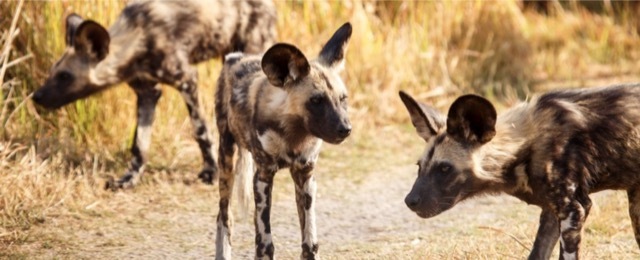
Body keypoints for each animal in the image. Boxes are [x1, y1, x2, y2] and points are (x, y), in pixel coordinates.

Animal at [31, 0, 278, 191]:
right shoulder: (147, 93)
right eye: (52, 72)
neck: (137, 39)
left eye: (65, 76)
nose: (36, 96)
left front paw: (211, 171)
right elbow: (139, 145)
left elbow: (200, 130)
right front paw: (128, 180)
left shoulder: (187, 80)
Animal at [216, 23, 356, 258]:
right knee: (224, 216)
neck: (293, 136)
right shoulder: (263, 177)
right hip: (226, 159)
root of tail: (234, 57)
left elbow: (310, 242)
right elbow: (265, 242)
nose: (345, 129)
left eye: (342, 99)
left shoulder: (305, 177)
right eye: (316, 100)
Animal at [400, 84, 640, 260]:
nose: (410, 201)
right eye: (419, 167)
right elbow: (536, 254)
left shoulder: (574, 209)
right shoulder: (553, 212)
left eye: (444, 168)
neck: (525, 144)